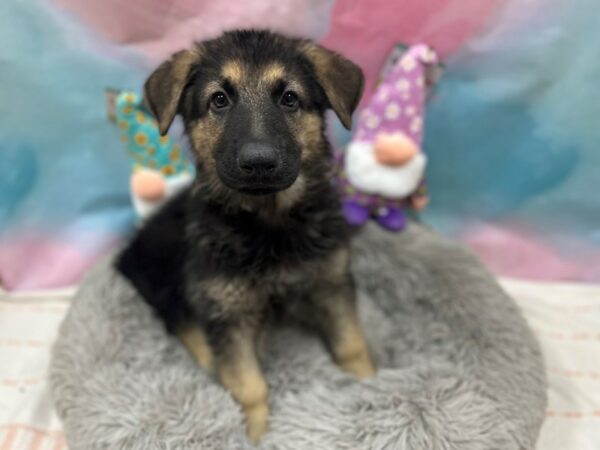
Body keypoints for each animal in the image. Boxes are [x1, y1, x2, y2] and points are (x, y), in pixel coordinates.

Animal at [116, 30, 376, 442]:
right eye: (219, 99)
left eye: (290, 98)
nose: (259, 162)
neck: (268, 224)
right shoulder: (227, 313)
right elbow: (249, 386)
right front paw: (256, 434)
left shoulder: (331, 283)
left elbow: (351, 345)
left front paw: (371, 384)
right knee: (179, 320)